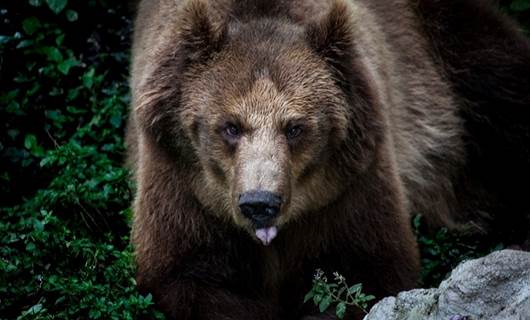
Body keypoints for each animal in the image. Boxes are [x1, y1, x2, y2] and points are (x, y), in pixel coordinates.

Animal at [125, 0, 528, 318]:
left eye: (295, 127)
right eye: (230, 126)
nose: (260, 203)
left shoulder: (350, 188)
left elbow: (367, 268)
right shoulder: (184, 188)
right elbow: (188, 275)